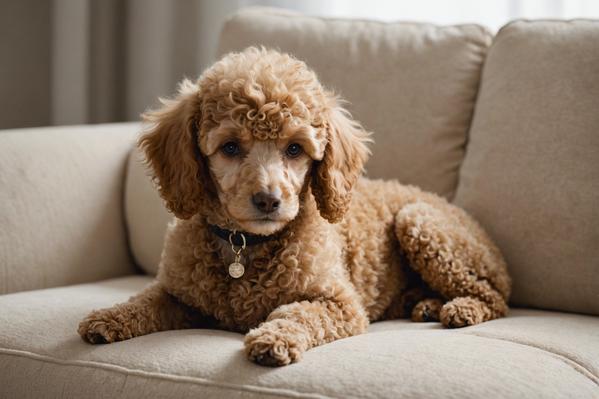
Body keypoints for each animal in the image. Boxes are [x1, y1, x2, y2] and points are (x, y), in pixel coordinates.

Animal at [78, 46, 510, 366]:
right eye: (229, 147)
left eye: (295, 149)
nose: (269, 200)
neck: (244, 245)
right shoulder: (180, 296)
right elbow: (145, 301)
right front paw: (108, 317)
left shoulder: (339, 305)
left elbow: (298, 313)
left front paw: (273, 338)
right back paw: (425, 305)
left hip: (420, 222)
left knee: (495, 299)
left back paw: (459, 309)